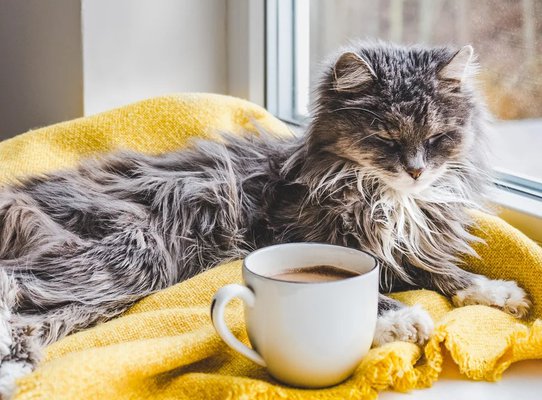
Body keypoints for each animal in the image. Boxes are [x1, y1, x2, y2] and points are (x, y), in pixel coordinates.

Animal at [0, 42, 532, 396]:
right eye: (385, 138)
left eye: (437, 137)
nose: (417, 170)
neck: (386, 197)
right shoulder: (303, 238)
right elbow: (369, 290)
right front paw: (402, 321)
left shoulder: (405, 250)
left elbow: (447, 273)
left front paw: (500, 294)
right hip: (133, 253)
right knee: (18, 292)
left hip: (110, 286)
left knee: (36, 318)